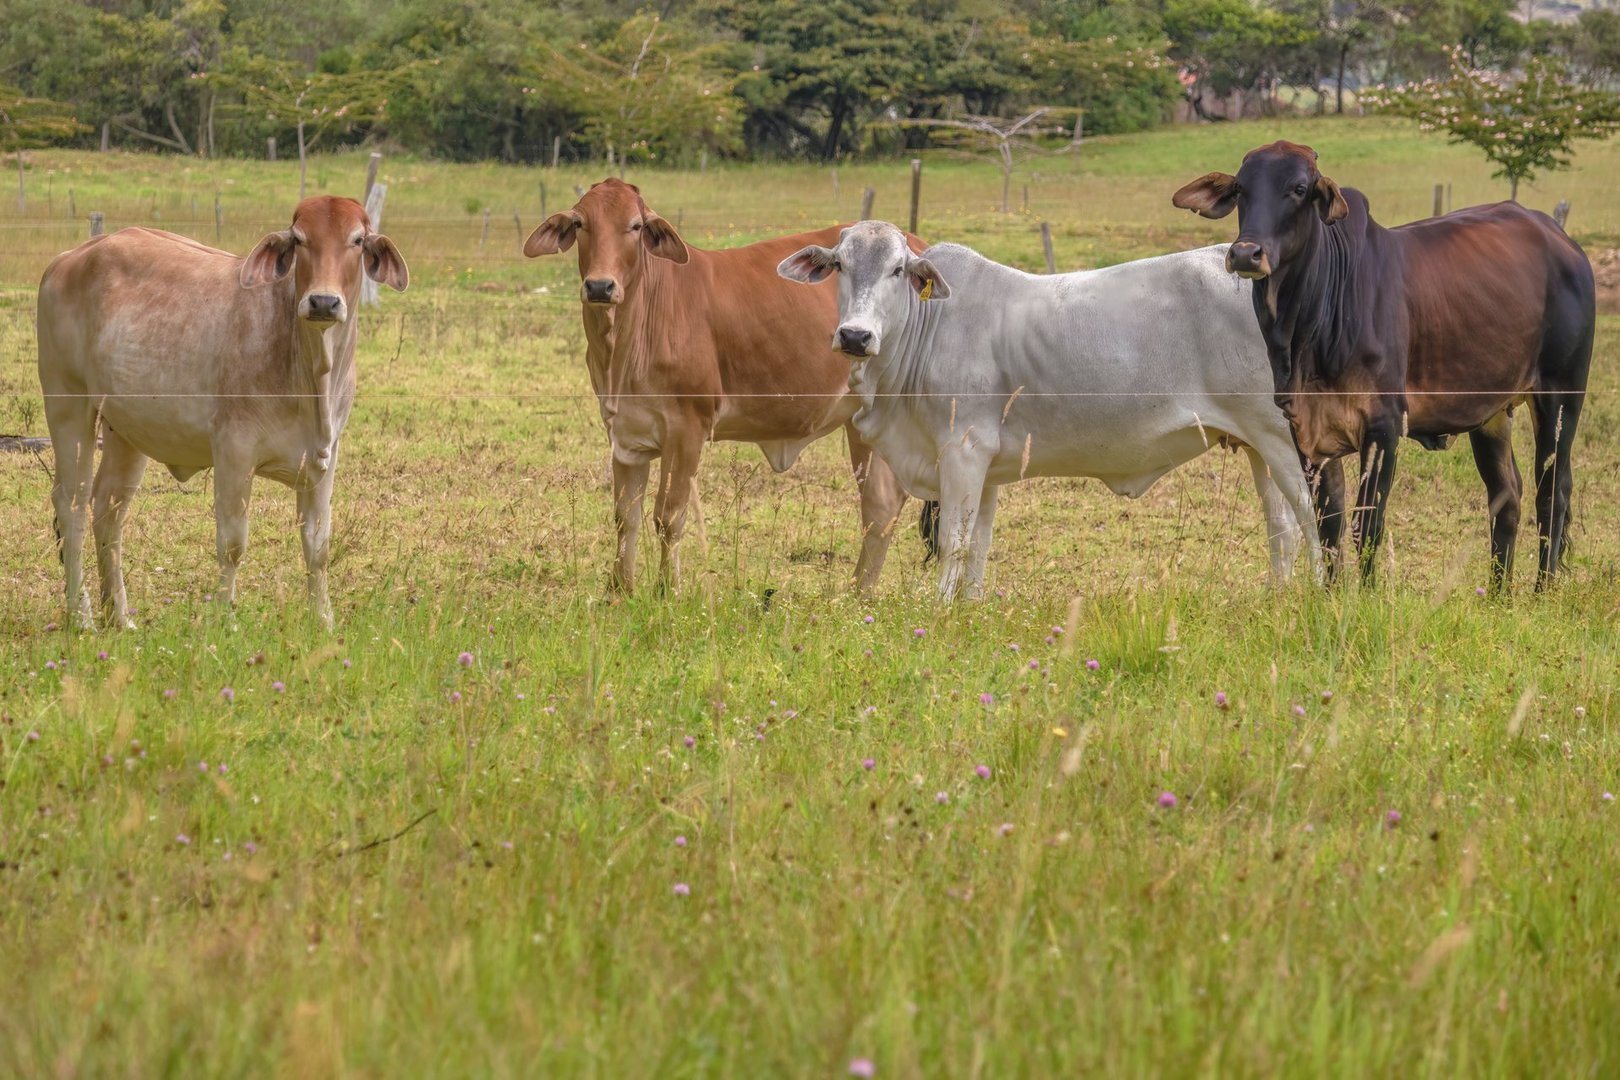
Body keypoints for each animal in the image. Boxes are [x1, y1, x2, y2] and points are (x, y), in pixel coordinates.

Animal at [37, 195, 408, 630]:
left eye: (357, 240)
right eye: (300, 239)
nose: (323, 302)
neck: (312, 376)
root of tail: (69, 258)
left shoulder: (326, 456)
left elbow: (317, 546)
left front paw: (323, 623)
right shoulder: (234, 450)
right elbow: (232, 544)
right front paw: (225, 621)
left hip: (125, 429)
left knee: (108, 509)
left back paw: (119, 617)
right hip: (68, 403)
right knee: (72, 505)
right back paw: (81, 616)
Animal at [523, 178, 916, 595]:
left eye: (635, 225)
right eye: (581, 223)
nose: (600, 286)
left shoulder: (687, 430)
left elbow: (669, 516)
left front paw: (667, 591)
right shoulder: (624, 434)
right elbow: (625, 515)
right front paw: (620, 592)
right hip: (863, 423)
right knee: (880, 506)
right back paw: (859, 595)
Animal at [776, 221, 1321, 599]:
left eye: (896, 270)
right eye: (841, 266)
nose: (855, 336)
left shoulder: (962, 449)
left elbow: (954, 540)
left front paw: (939, 610)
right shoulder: (988, 464)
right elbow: (980, 543)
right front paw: (969, 607)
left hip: (1282, 437)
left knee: (1312, 518)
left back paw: (1320, 596)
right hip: (1256, 445)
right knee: (1282, 528)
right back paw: (1275, 599)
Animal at [1173, 141, 1595, 588]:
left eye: (1299, 189)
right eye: (1240, 188)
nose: (1245, 253)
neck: (1305, 331)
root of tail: (1561, 239)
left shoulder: (1384, 427)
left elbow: (1367, 525)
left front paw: (1367, 595)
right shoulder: (1306, 432)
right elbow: (1329, 527)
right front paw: (1334, 596)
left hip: (1560, 397)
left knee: (1553, 492)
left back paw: (1542, 591)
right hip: (1490, 413)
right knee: (1506, 494)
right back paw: (1500, 594)